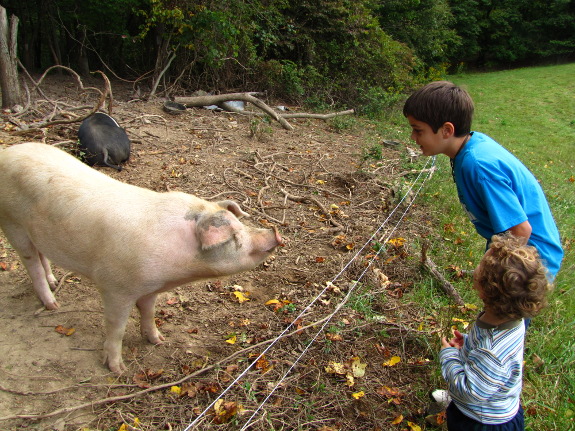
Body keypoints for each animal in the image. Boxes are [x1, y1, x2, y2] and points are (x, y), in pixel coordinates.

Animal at [0, 143, 284, 372]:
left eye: (241, 224)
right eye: (234, 235)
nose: (274, 232)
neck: (175, 271)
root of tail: (7, 152)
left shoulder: (151, 288)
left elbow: (148, 312)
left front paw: (158, 341)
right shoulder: (114, 287)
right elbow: (116, 327)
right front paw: (118, 370)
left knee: (41, 256)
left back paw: (54, 283)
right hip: (13, 224)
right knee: (31, 264)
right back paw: (53, 305)